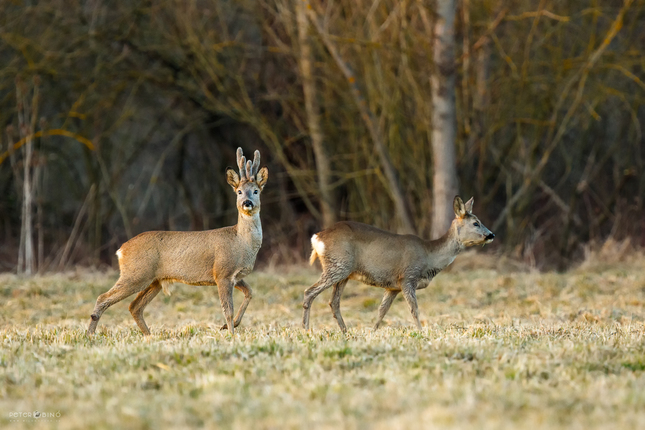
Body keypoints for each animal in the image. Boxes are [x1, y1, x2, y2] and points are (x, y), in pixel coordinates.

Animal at [85, 148, 266, 336]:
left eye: (256, 191)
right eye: (239, 191)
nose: (247, 203)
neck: (241, 243)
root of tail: (121, 250)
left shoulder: (235, 277)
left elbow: (250, 293)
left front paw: (229, 326)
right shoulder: (222, 272)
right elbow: (227, 310)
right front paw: (230, 334)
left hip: (155, 280)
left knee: (134, 306)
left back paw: (149, 335)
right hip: (136, 274)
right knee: (103, 297)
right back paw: (90, 334)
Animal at [302, 196, 494, 332]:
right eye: (476, 223)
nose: (491, 234)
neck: (429, 255)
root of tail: (317, 237)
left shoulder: (392, 286)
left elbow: (382, 311)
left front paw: (372, 332)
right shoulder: (408, 276)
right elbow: (414, 309)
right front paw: (422, 332)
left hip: (344, 272)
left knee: (333, 302)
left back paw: (345, 332)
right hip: (338, 265)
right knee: (309, 292)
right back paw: (306, 330)